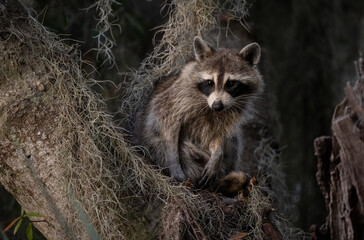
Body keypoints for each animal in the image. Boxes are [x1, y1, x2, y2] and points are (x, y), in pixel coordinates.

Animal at [132, 36, 264, 189]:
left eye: (231, 83)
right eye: (209, 82)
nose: (217, 106)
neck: (208, 105)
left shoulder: (226, 115)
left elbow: (219, 135)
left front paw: (217, 154)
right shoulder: (174, 99)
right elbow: (166, 123)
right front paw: (173, 163)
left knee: (233, 140)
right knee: (174, 147)